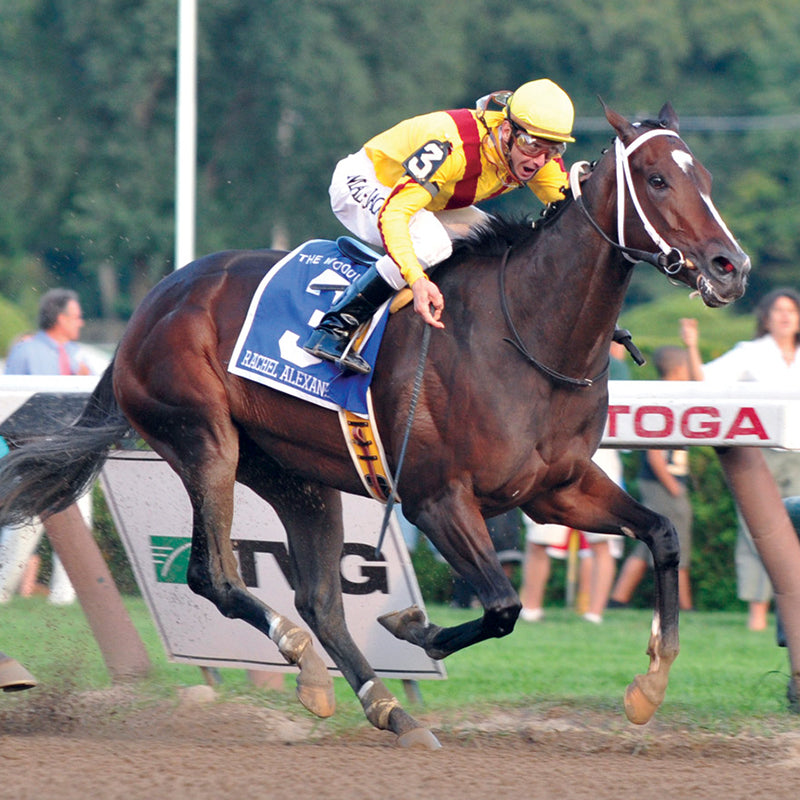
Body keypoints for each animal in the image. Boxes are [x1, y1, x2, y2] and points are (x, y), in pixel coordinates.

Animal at [0, 101, 752, 752]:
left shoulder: (556, 489)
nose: (731, 267)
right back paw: (303, 660)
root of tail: (150, 308)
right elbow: (503, 605)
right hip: (204, 441)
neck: (529, 334)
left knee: (318, 598)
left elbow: (662, 534)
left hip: (296, 476)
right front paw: (411, 625)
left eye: (707, 179)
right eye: (657, 179)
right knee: (214, 575)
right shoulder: (436, 498)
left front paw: (649, 685)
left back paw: (384, 706)